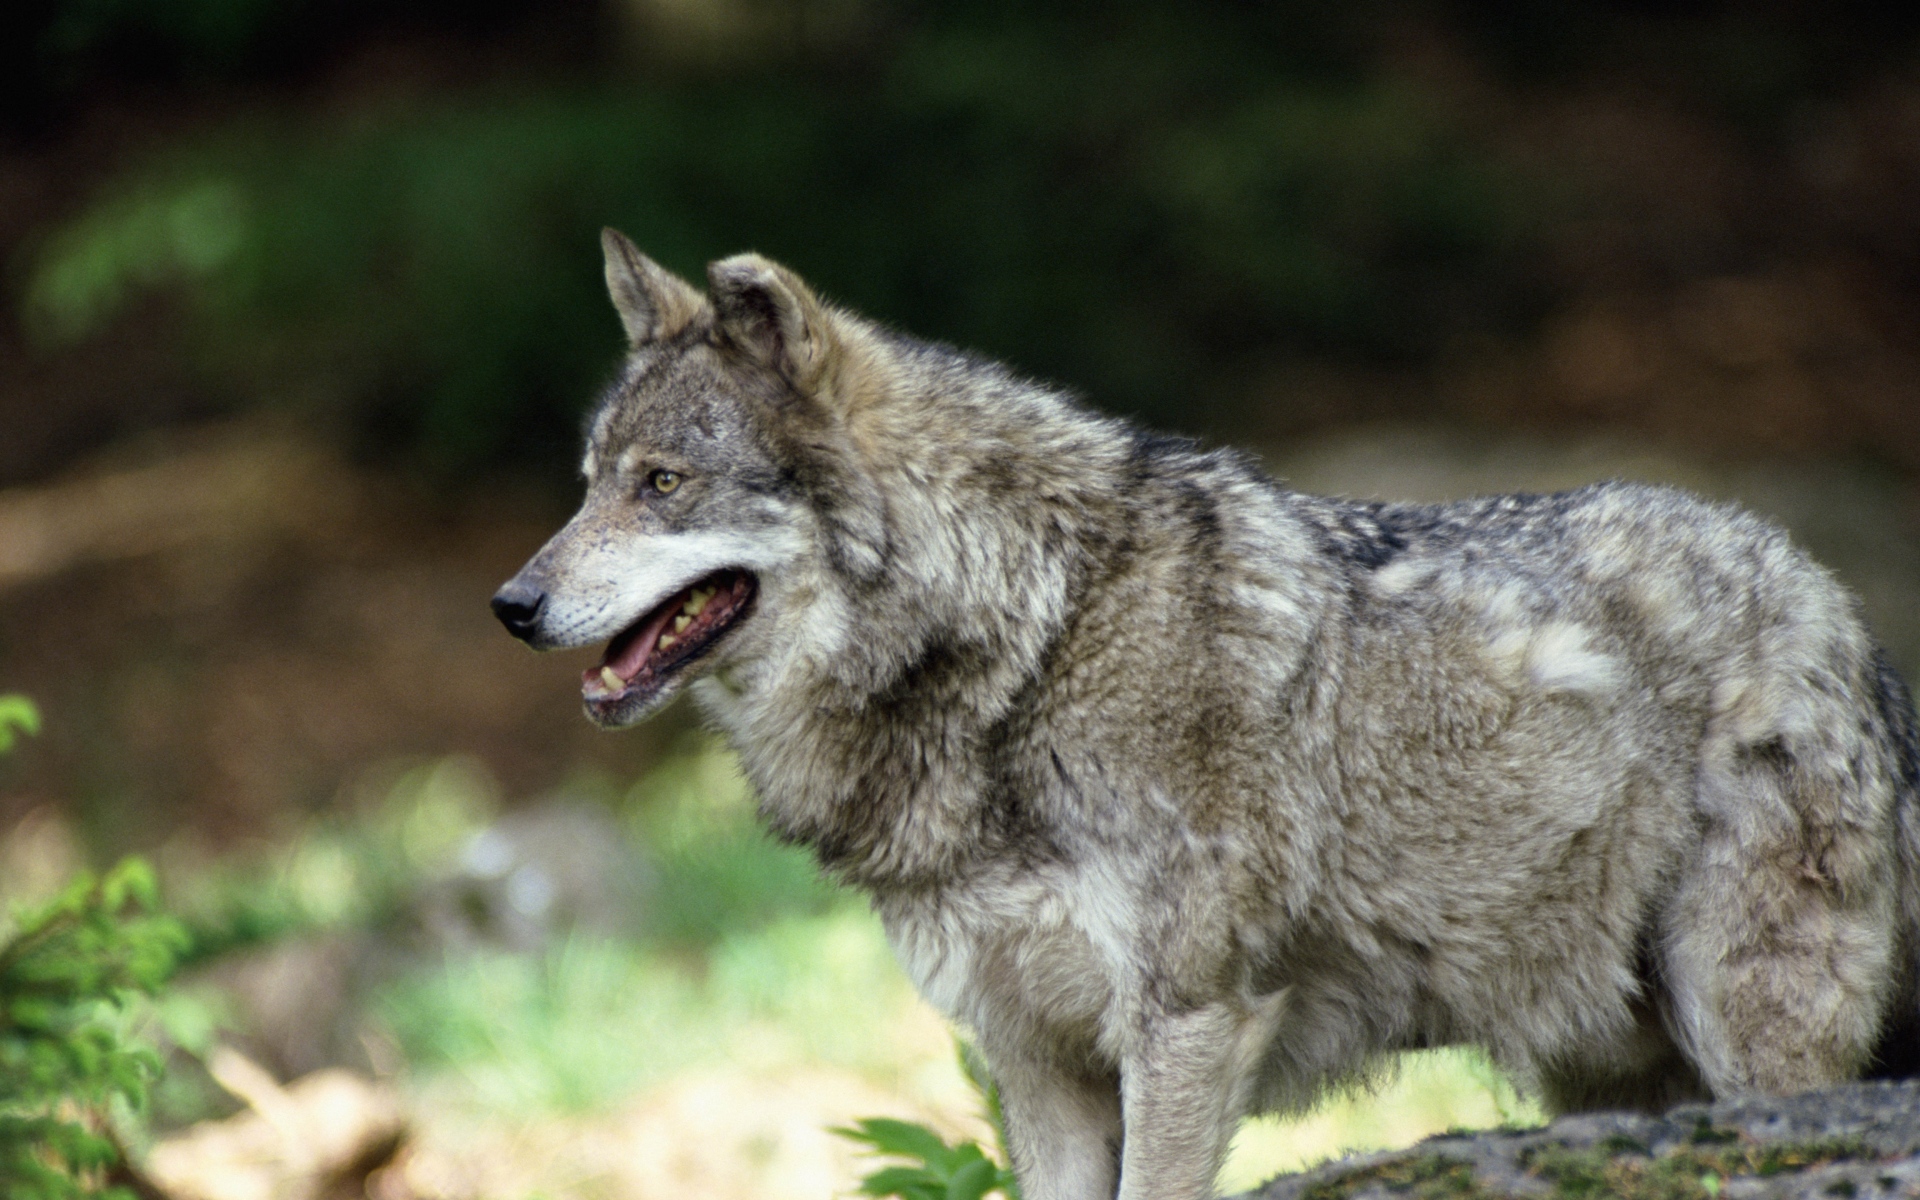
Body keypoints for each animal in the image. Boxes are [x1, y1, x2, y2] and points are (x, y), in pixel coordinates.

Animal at [493, 229, 1920, 1200]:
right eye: (587, 482)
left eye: (660, 484)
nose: (511, 603)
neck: (1032, 640)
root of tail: (1839, 610)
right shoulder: (1036, 1060)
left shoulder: (1187, 1024)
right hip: (1607, 1070)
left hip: (1746, 1036)